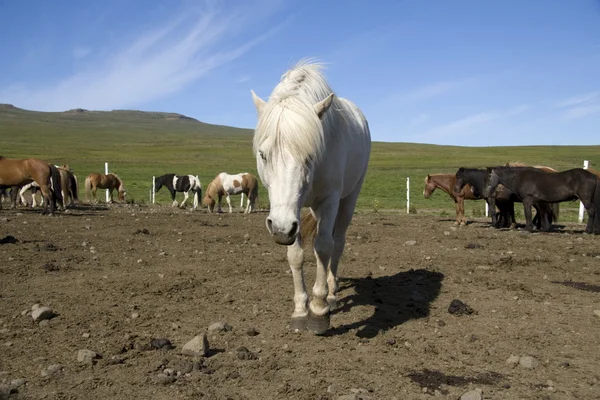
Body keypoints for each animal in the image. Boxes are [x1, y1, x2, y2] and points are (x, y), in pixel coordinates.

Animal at [250, 59, 370, 334]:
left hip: (349, 198)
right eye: (263, 154)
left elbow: (324, 247)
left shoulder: (330, 200)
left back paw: (332, 294)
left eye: (309, 155)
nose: (280, 229)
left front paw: (318, 310)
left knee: (338, 242)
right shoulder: (289, 211)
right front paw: (300, 311)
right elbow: (296, 255)